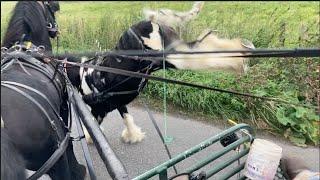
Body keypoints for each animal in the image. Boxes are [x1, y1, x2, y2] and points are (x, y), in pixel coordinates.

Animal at [0, 1, 86, 179]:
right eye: (52, 9)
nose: (56, 29)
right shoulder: (63, 108)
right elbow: (69, 144)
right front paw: (78, 169)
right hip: (54, 160)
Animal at [63, 17, 255, 144]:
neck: (84, 74)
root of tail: (150, 22)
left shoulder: (99, 110)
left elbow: (94, 126)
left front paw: (91, 138)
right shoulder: (119, 102)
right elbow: (127, 117)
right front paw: (133, 136)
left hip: (167, 57)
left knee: (194, 57)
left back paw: (239, 58)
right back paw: (241, 52)